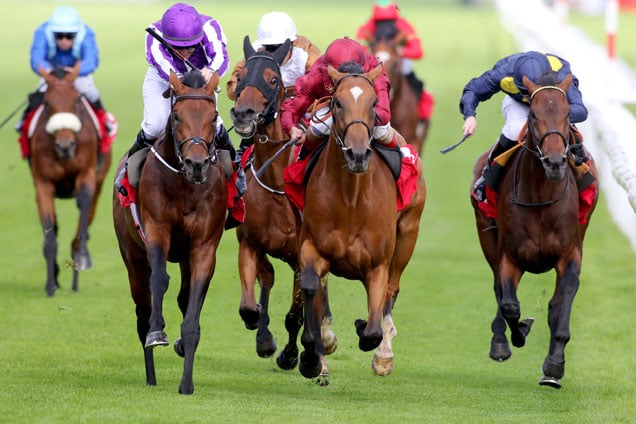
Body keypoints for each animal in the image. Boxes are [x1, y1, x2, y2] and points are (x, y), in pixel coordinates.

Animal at [28, 63, 111, 296]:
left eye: (76, 100)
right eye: (47, 103)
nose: (65, 145)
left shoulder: (87, 175)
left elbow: (83, 206)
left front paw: (81, 258)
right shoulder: (43, 184)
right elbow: (50, 234)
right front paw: (50, 285)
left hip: (100, 183)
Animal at [112, 68, 226, 394]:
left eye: (214, 116)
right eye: (176, 115)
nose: (197, 164)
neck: (185, 186)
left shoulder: (203, 247)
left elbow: (192, 311)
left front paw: (186, 382)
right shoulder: (156, 231)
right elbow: (159, 280)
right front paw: (157, 333)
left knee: (184, 298)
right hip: (132, 258)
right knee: (142, 311)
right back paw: (150, 374)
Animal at [229, 35, 338, 368]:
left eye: (272, 79)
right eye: (241, 77)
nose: (244, 114)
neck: (276, 189)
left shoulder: (302, 257)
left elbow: (296, 314)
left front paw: (294, 355)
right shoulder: (249, 243)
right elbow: (251, 303)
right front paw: (264, 337)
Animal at [296, 63, 424, 384]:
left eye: (374, 103)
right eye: (337, 103)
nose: (357, 154)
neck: (351, 199)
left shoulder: (377, 265)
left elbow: (372, 330)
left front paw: (371, 338)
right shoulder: (312, 246)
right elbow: (311, 285)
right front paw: (312, 356)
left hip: (408, 235)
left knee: (392, 290)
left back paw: (384, 356)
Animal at [470, 72, 600, 388]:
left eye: (568, 115)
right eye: (533, 114)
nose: (554, 162)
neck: (541, 195)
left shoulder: (570, 253)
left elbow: (561, 303)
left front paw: (554, 367)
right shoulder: (509, 256)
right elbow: (509, 304)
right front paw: (518, 333)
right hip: (486, 237)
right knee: (499, 291)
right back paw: (501, 341)